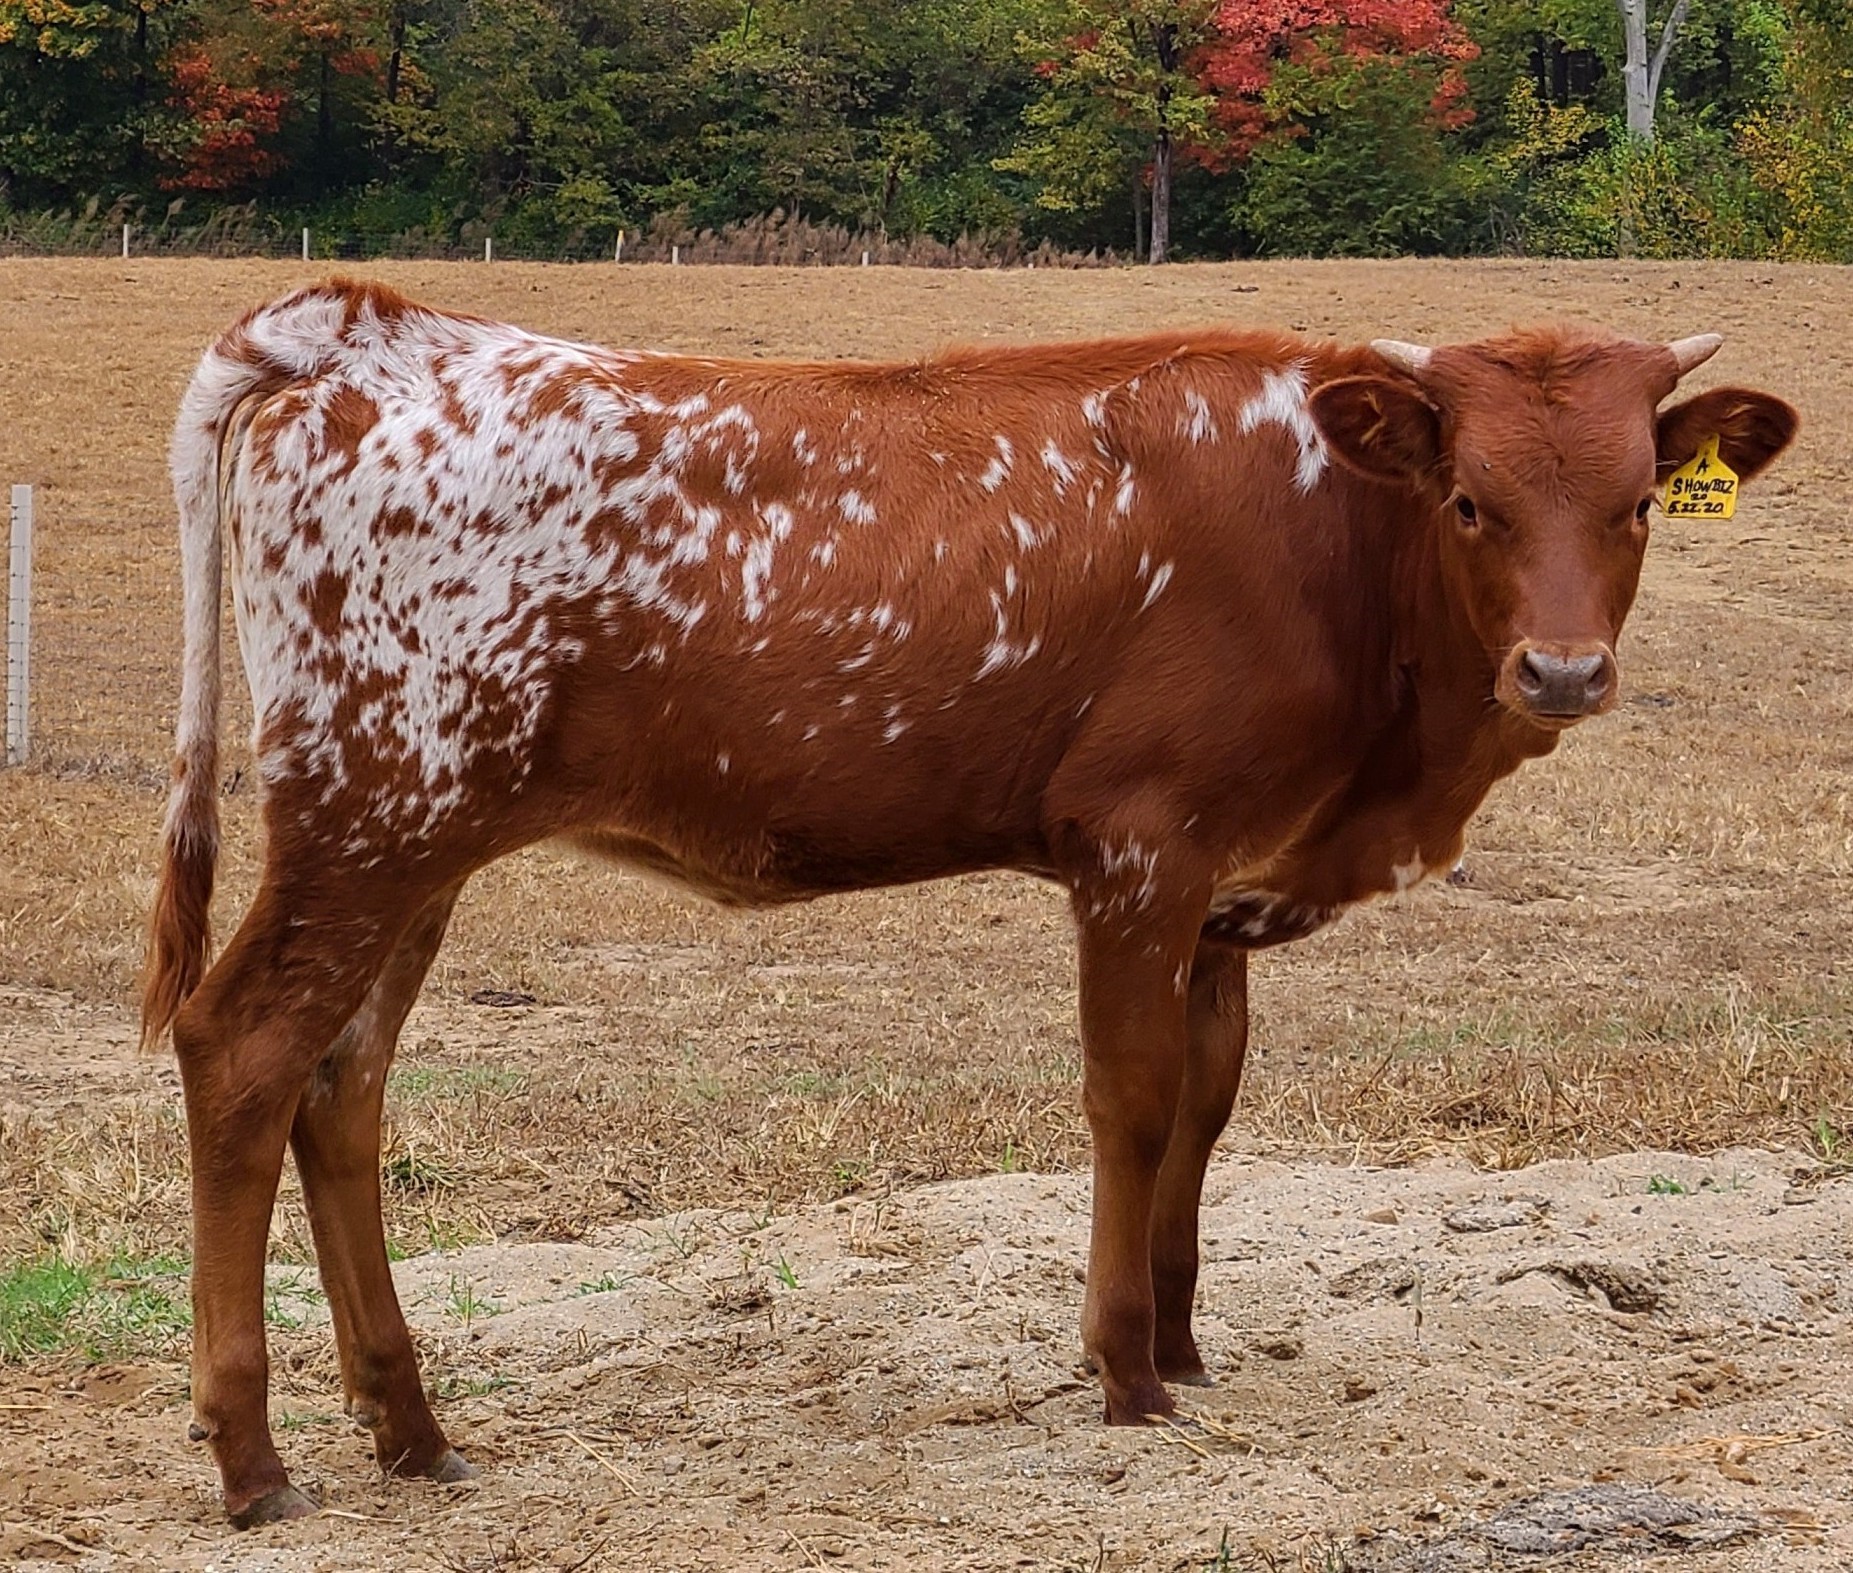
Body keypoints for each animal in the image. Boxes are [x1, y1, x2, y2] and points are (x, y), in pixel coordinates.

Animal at [142, 279, 1796, 1526]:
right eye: (1469, 499)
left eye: (1639, 503)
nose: (1563, 672)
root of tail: (370, 323)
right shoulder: (1140, 846)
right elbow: (1132, 1101)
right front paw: (1125, 1370)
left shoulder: (1219, 892)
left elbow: (1208, 1103)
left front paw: (1183, 1336)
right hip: (371, 817)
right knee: (243, 1053)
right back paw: (252, 1453)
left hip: (421, 845)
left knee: (341, 1087)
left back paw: (411, 1425)